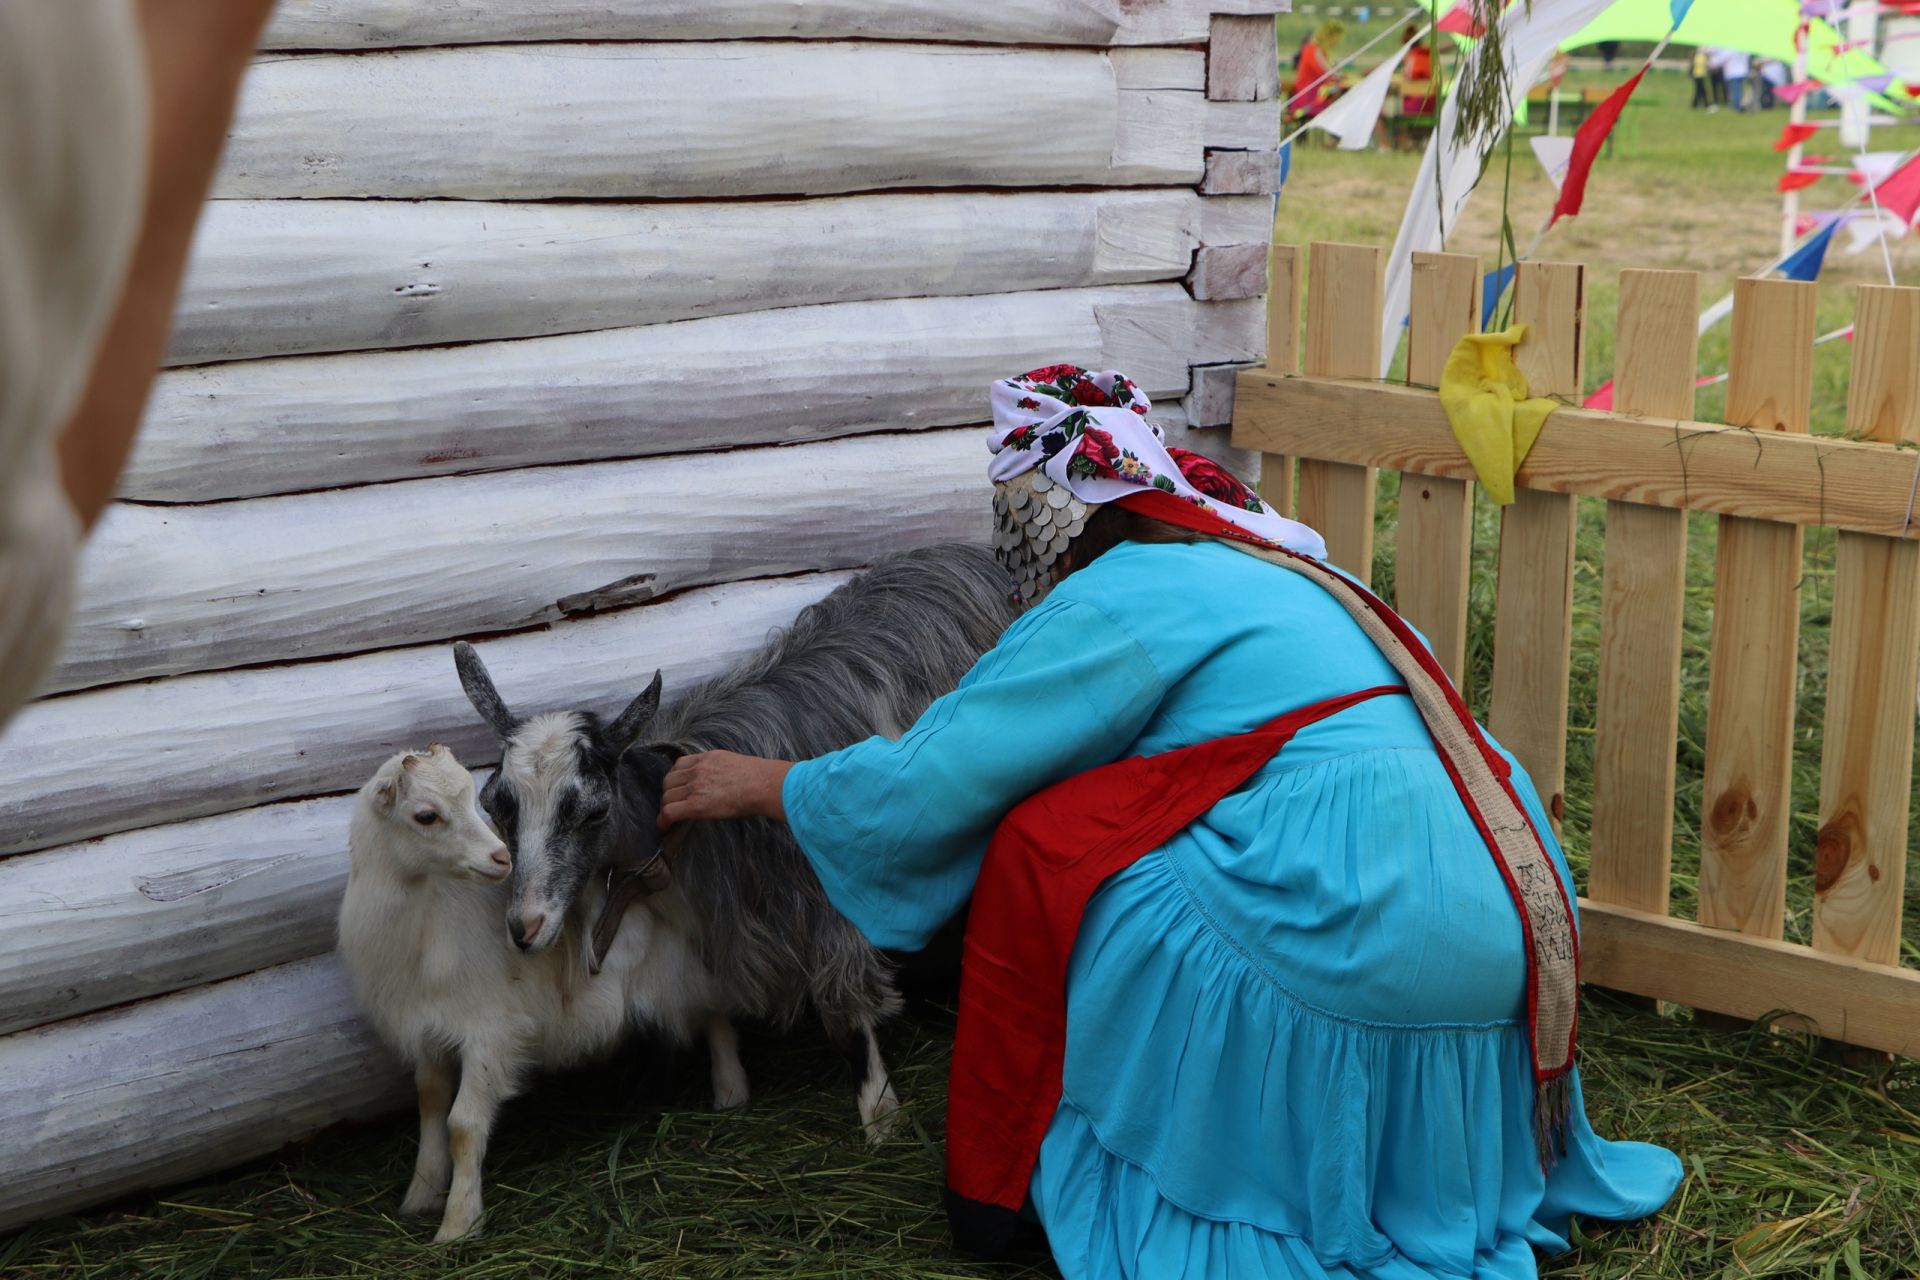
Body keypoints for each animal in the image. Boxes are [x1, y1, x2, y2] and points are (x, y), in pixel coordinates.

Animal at [451, 541, 1021, 1128]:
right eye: (494, 802)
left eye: (593, 811)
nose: (524, 927)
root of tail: (964, 550)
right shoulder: (712, 928)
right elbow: (711, 1009)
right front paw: (729, 1091)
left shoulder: (825, 913)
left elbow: (846, 1020)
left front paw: (880, 1117)